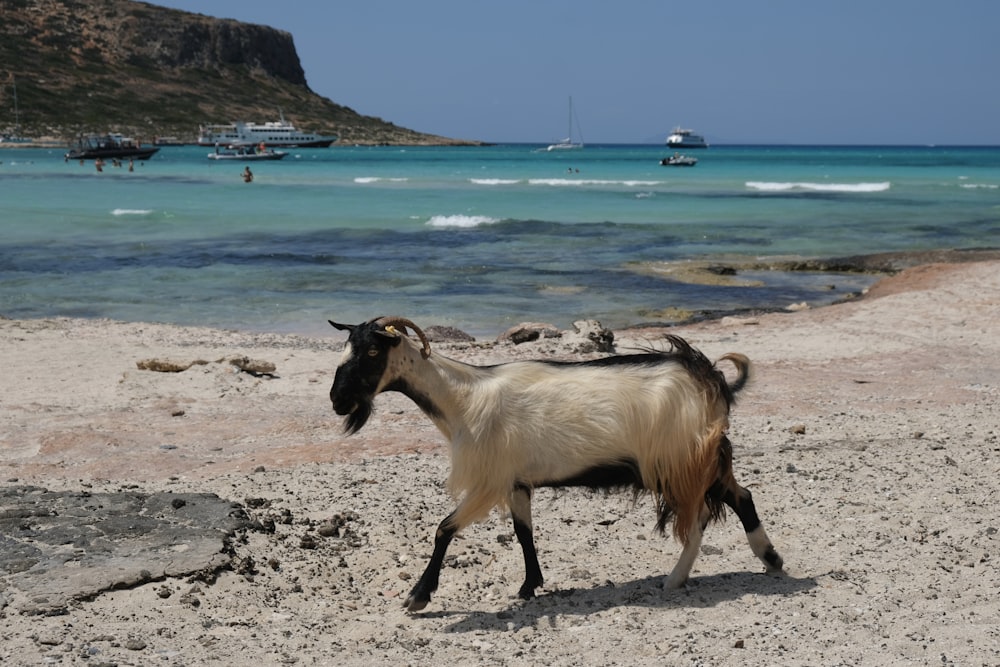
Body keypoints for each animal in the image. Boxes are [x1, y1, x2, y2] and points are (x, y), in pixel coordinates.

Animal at [328, 316, 780, 612]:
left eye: (373, 350)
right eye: (345, 349)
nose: (337, 401)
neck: (461, 399)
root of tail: (709, 377)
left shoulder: (489, 479)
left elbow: (444, 529)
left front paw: (419, 596)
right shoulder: (516, 481)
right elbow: (524, 533)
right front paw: (530, 586)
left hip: (680, 460)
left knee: (708, 512)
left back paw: (686, 576)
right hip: (698, 461)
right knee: (738, 497)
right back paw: (763, 560)